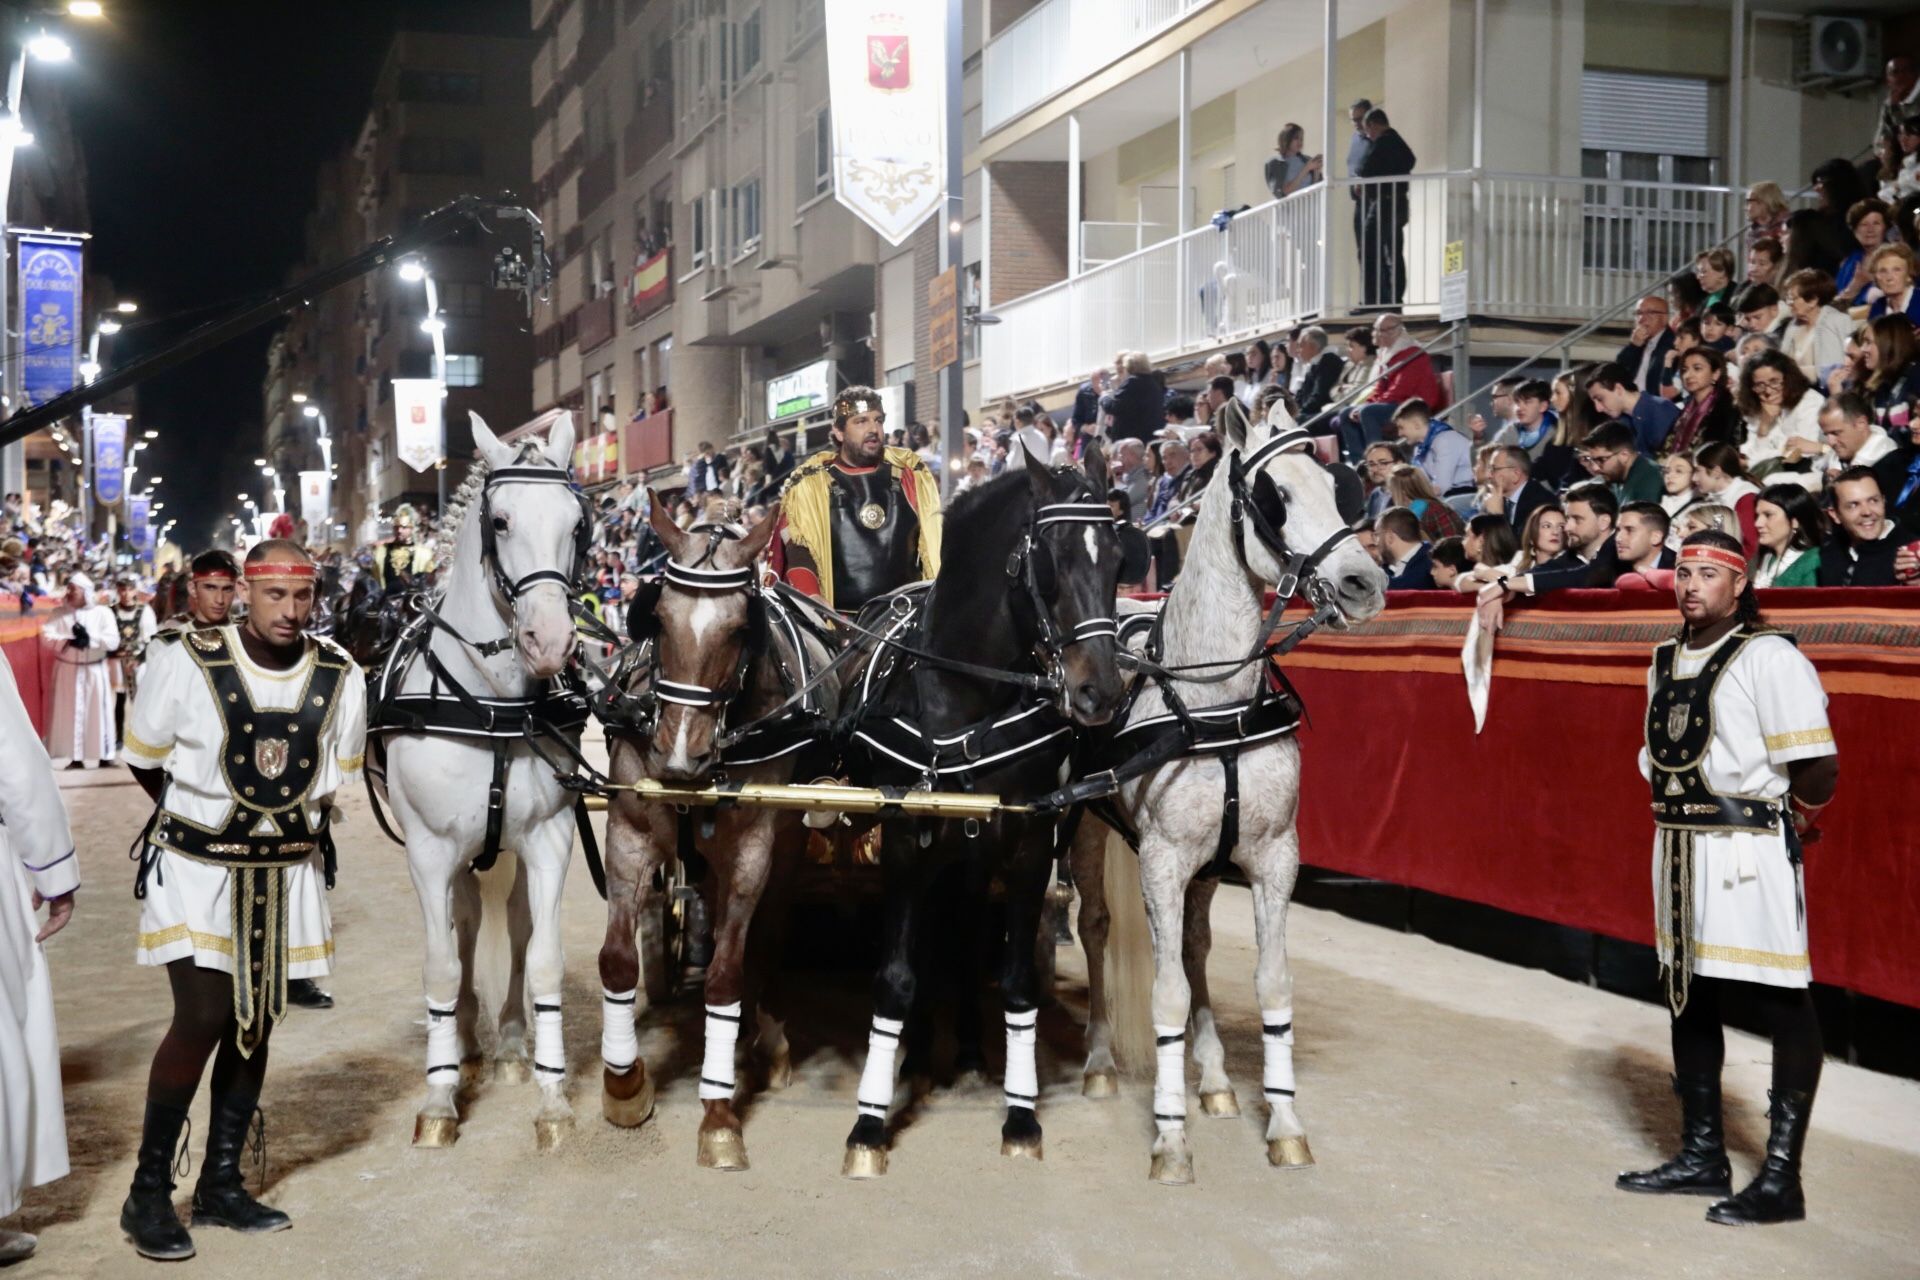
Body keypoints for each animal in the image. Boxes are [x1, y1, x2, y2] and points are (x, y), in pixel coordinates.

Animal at [372, 410, 583, 1151]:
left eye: (579, 523)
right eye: (500, 520)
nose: (550, 641)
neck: (490, 705)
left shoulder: (549, 840)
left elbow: (543, 956)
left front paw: (553, 1097)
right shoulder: (430, 852)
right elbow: (441, 963)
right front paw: (438, 1098)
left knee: (511, 928)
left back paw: (513, 1046)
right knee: (460, 932)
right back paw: (460, 1044)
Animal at [1082, 404, 1382, 1189]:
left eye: (1337, 486)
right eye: (1277, 494)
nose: (1365, 582)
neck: (1213, 703)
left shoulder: (1274, 857)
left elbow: (1271, 985)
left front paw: (1284, 1123)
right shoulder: (1160, 861)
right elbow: (1165, 994)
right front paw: (1169, 1139)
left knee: (1193, 945)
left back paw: (1214, 1080)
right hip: (1086, 836)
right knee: (1094, 927)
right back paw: (1098, 1061)